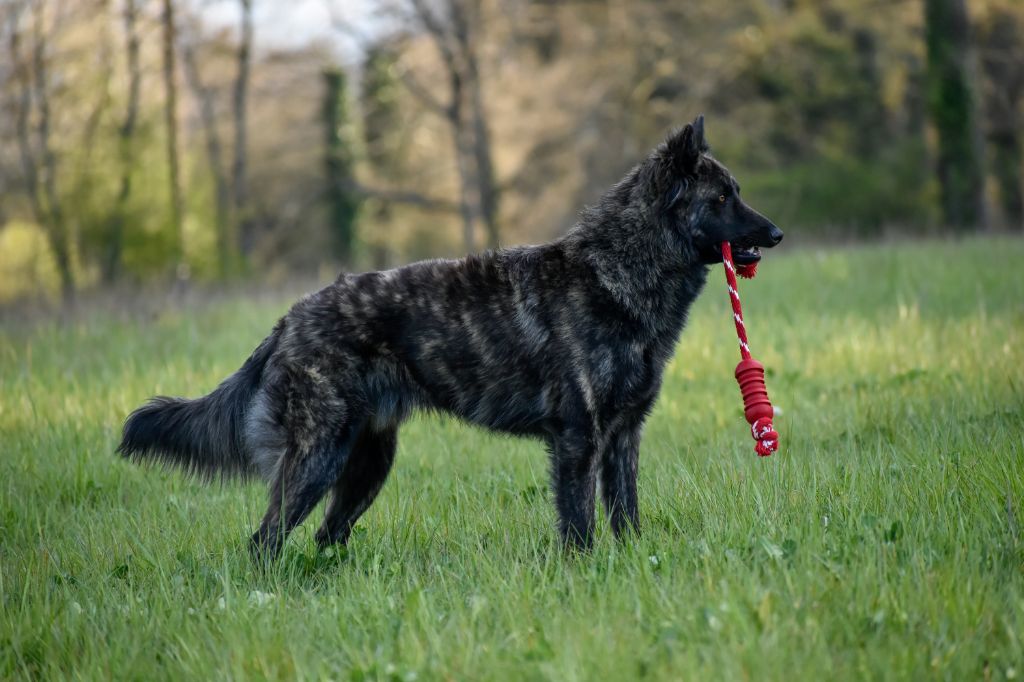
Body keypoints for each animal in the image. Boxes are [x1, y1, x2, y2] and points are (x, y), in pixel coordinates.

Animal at [121, 115, 790, 557]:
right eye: (721, 197)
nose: (778, 233)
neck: (617, 272)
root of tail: (290, 319)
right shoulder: (578, 440)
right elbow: (579, 527)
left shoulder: (623, 438)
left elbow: (625, 517)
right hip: (317, 459)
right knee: (265, 541)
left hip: (365, 466)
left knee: (323, 537)